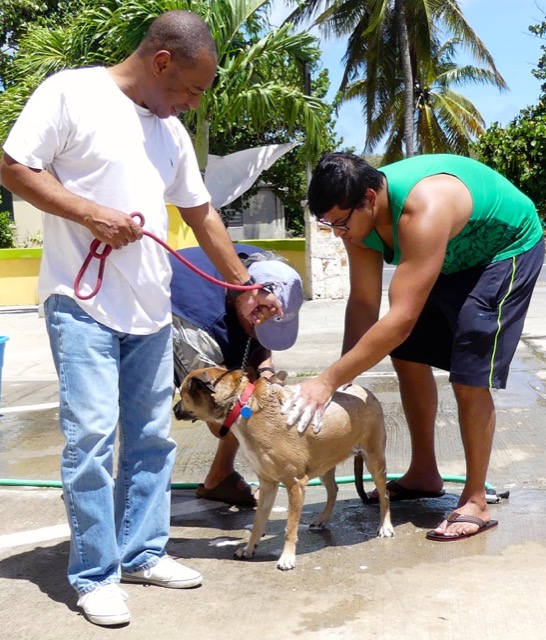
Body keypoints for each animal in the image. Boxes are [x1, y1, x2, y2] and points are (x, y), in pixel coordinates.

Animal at [176, 364, 394, 568]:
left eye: (183, 391)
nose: (174, 409)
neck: (241, 405)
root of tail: (365, 390)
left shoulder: (295, 484)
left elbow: (290, 528)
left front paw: (287, 558)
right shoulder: (267, 483)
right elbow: (258, 521)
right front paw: (249, 548)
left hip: (374, 460)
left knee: (384, 495)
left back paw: (385, 526)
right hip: (325, 464)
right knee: (333, 490)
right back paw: (323, 519)